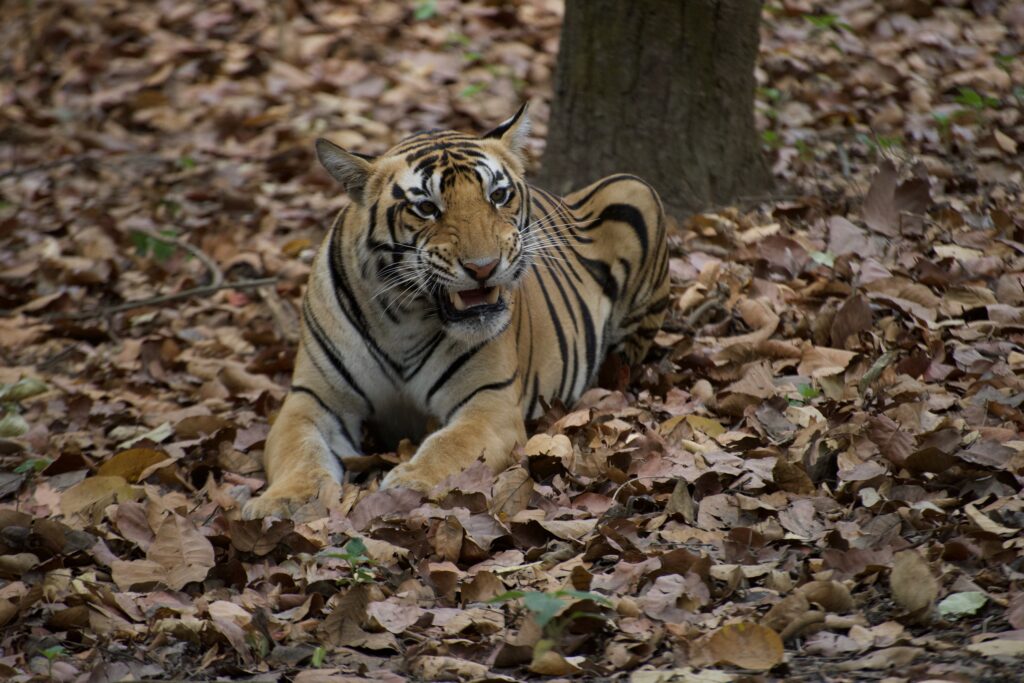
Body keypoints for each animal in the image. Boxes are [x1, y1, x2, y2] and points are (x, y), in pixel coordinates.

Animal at [242, 104, 670, 520]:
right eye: (426, 207)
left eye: (498, 195)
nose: (484, 267)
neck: (402, 319)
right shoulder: (312, 400)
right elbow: (299, 451)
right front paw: (286, 500)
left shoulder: (488, 401)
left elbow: (449, 445)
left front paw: (408, 482)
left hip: (635, 188)